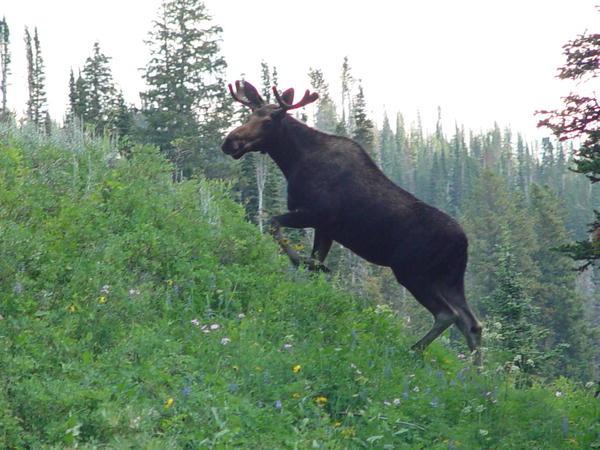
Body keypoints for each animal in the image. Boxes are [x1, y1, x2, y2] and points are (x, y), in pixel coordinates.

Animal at [220, 80, 482, 362]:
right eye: (250, 115)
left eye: (268, 120)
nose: (230, 142)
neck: (292, 161)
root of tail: (464, 244)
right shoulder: (326, 228)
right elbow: (312, 258)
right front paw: (313, 270)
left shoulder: (315, 214)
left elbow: (273, 223)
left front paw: (300, 261)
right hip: (450, 278)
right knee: (472, 323)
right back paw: (475, 371)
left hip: (413, 272)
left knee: (448, 315)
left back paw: (414, 350)